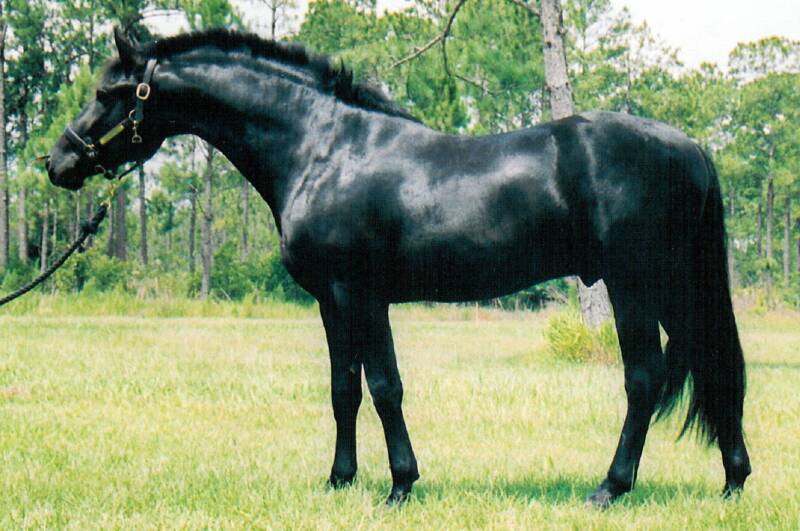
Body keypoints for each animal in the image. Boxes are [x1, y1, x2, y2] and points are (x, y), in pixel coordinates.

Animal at [47, 28, 751, 507]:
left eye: (109, 92)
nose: (59, 162)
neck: (321, 150)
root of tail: (692, 147)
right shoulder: (331, 300)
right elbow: (345, 389)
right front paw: (339, 480)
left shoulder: (361, 294)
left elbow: (385, 387)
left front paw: (401, 485)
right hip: (674, 289)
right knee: (713, 365)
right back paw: (733, 480)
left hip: (636, 287)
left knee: (644, 377)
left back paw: (611, 487)